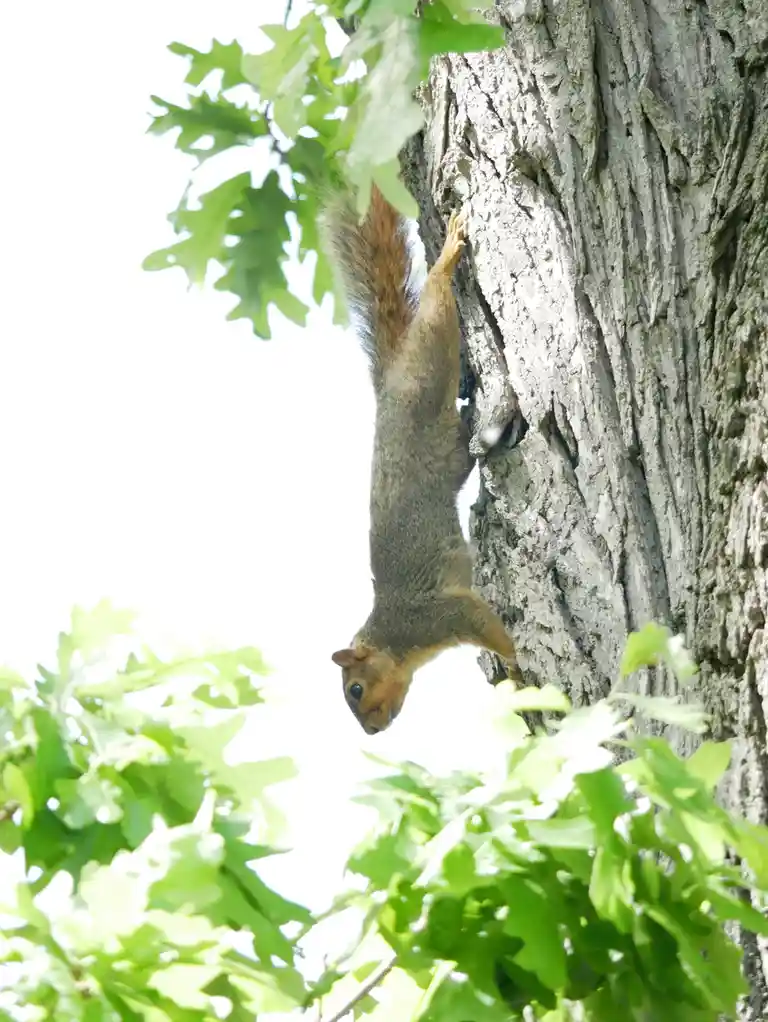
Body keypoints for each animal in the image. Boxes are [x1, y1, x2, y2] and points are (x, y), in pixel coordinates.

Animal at [325, 184, 522, 735]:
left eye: (355, 689)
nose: (372, 731)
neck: (395, 636)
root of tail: (390, 380)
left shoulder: (440, 615)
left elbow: (491, 629)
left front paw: (519, 669)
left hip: (429, 363)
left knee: (436, 297)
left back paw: (449, 253)